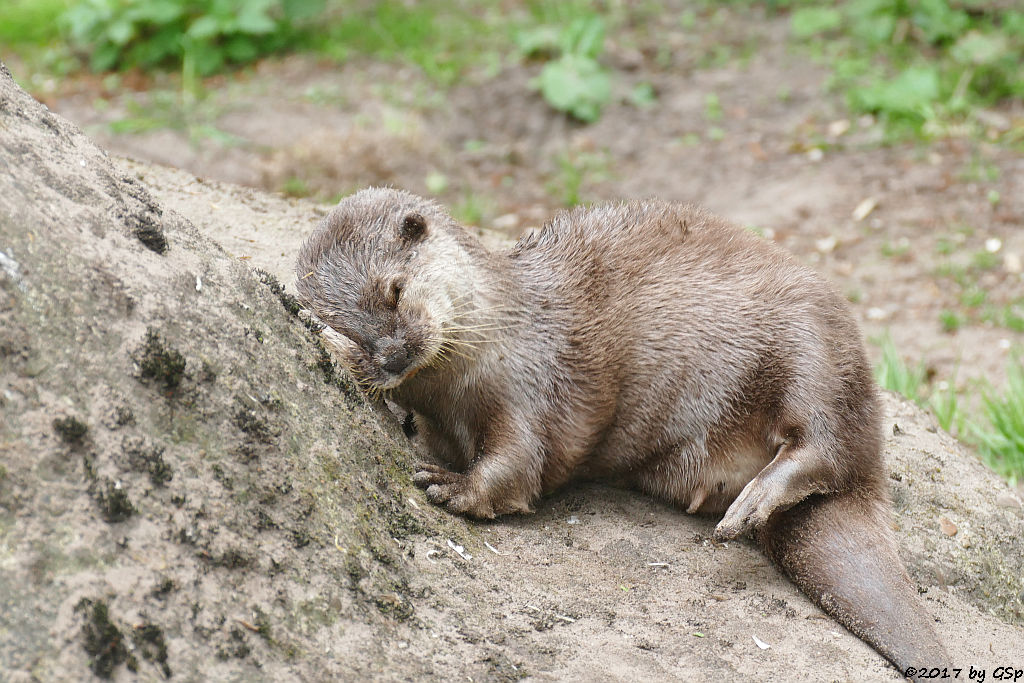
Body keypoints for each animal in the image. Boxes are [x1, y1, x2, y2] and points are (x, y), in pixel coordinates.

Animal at [296, 185, 950, 671]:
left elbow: (521, 465)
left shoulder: (539, 380)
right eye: (343, 330)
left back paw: (752, 503)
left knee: (824, 443)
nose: (391, 357)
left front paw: (455, 487)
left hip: (813, 344)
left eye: (394, 291)